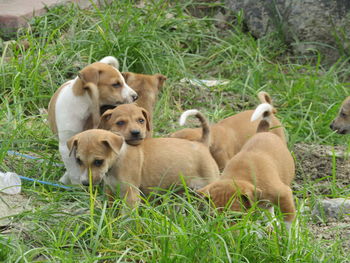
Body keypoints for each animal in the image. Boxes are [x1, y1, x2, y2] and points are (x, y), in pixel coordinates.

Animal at [47, 56, 138, 185]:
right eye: (116, 84)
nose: (136, 96)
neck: (84, 107)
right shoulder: (67, 146)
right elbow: (74, 171)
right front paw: (76, 187)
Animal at [68, 106, 219, 207]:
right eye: (78, 160)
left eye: (98, 161)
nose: (85, 183)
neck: (118, 159)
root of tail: (202, 143)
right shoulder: (110, 193)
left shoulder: (131, 196)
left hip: (210, 183)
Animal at [197, 102, 296, 230]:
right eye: (213, 217)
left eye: (235, 217)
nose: (223, 233)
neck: (240, 175)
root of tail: (262, 131)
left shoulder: (284, 194)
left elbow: (289, 222)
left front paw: (288, 235)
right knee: (269, 209)